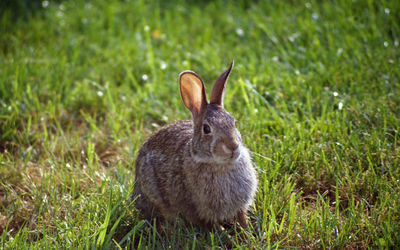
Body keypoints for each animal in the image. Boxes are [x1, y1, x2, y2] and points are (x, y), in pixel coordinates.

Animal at [133, 61, 258, 229]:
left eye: (234, 122)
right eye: (206, 129)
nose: (232, 146)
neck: (218, 164)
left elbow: (241, 215)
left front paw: (247, 229)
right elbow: (213, 221)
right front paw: (222, 230)